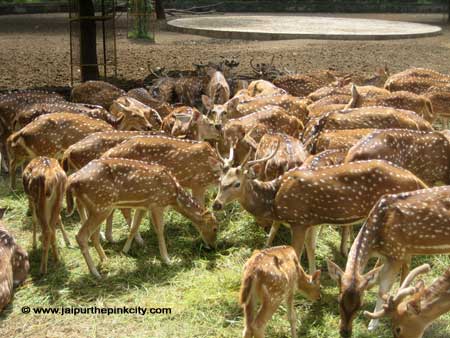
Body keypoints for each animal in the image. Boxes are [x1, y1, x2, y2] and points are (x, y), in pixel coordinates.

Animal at [66, 158, 219, 278]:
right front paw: (167, 260)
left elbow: (134, 227)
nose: (213, 246)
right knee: (81, 236)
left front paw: (125, 250)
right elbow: (160, 230)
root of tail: (72, 180)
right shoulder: (157, 203)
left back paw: (105, 260)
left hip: (94, 207)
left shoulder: (143, 206)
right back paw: (95, 272)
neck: (174, 196)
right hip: (102, 206)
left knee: (93, 235)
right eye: (215, 228)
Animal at [326, 186, 450, 336]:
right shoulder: (395, 253)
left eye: (361, 304)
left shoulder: (396, 252)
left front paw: (372, 325)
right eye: (338, 300)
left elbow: (383, 290)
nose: (345, 332)